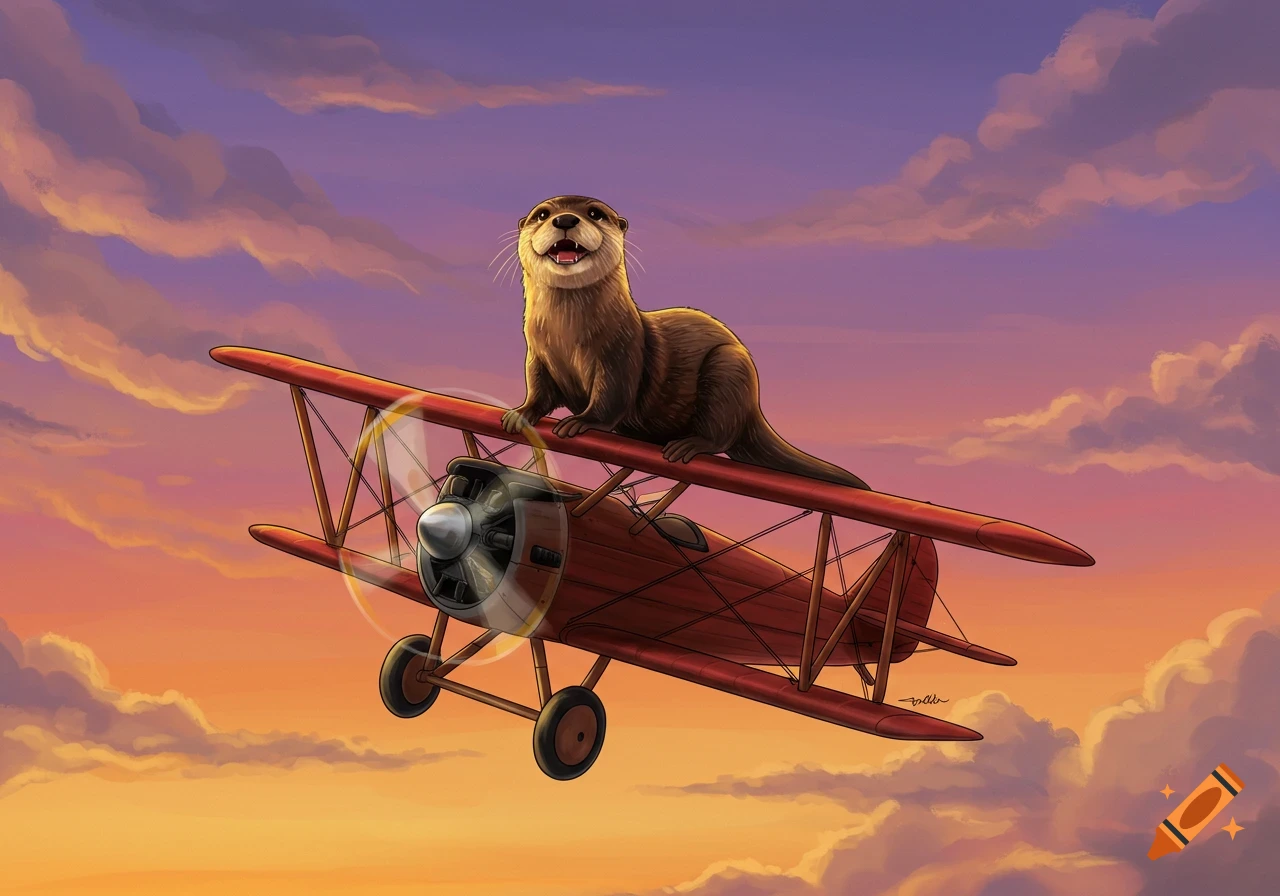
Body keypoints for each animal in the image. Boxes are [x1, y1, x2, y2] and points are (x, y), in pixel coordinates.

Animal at [500, 195, 870, 491]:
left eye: (595, 213)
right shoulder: (538, 356)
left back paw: (688, 445)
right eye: (542, 214)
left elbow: (611, 398)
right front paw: (521, 413)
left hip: (728, 369)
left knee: (722, 432)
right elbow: (539, 391)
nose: (565, 220)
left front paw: (583, 421)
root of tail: (754, 407)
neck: (568, 337)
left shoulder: (620, 353)